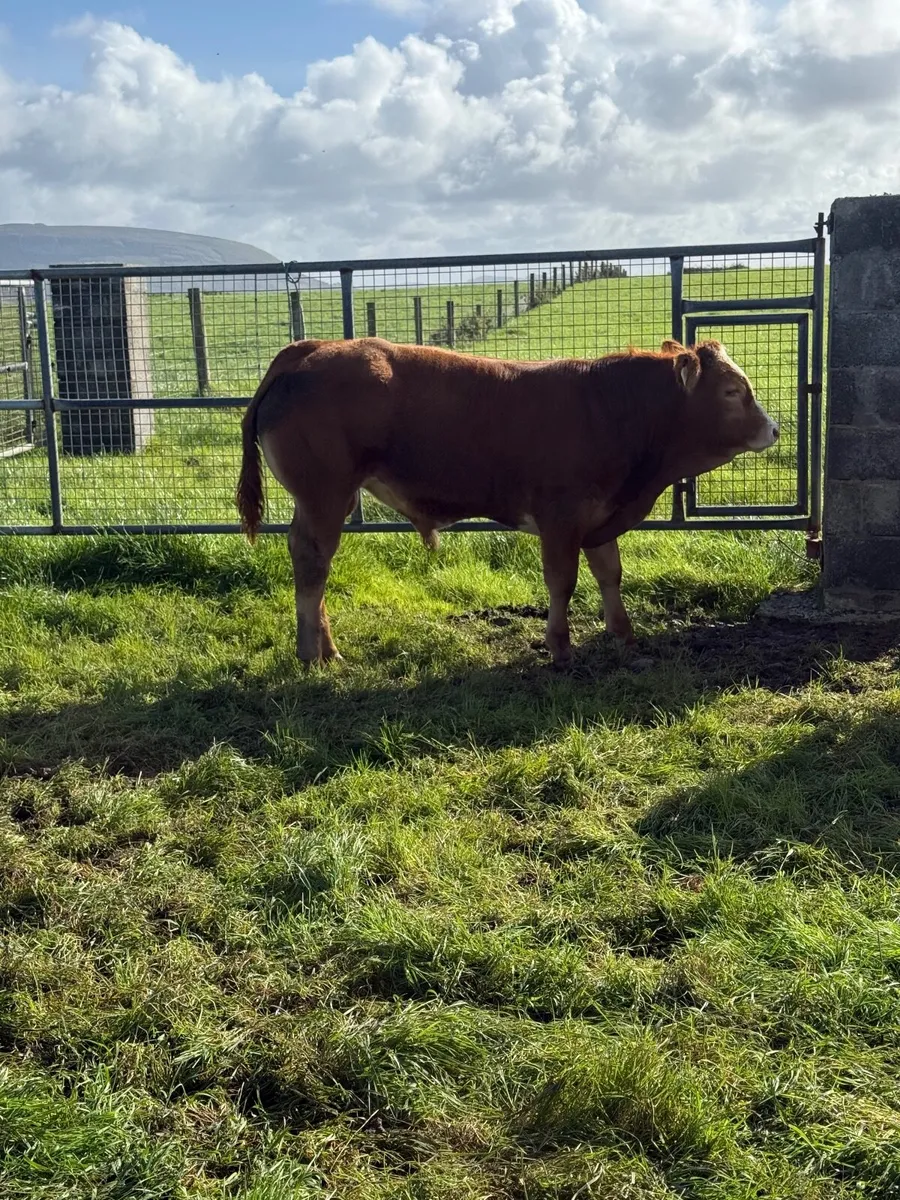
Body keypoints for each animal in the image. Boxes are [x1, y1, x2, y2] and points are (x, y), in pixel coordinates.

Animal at [236, 336, 778, 668]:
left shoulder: (599, 518)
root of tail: (312, 349)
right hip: (324, 495)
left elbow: (610, 574)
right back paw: (314, 652)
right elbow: (562, 582)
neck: (612, 408)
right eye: (733, 391)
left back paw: (324, 646)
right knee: (313, 561)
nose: (774, 429)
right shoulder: (561, 517)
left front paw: (623, 636)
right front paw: (560, 646)